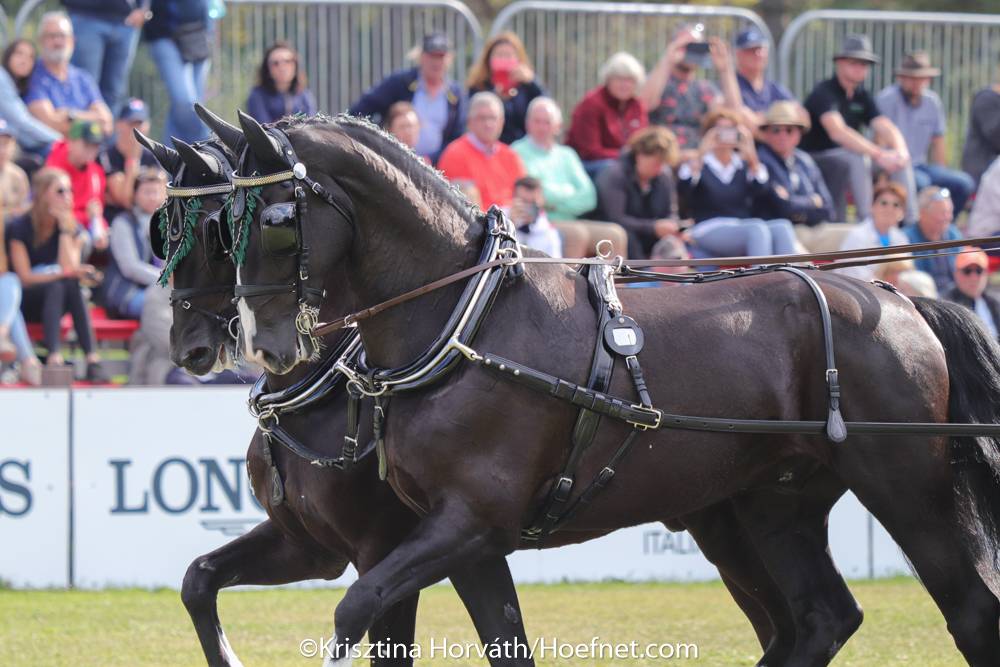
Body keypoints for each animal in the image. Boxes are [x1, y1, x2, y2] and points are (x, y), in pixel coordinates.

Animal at [219, 109, 1000, 666]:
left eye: (277, 221)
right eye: (222, 224)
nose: (260, 342)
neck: (469, 320)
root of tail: (896, 299)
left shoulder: (467, 520)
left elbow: (355, 608)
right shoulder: (457, 533)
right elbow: (501, 640)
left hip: (907, 488)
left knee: (969, 611)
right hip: (776, 502)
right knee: (820, 618)